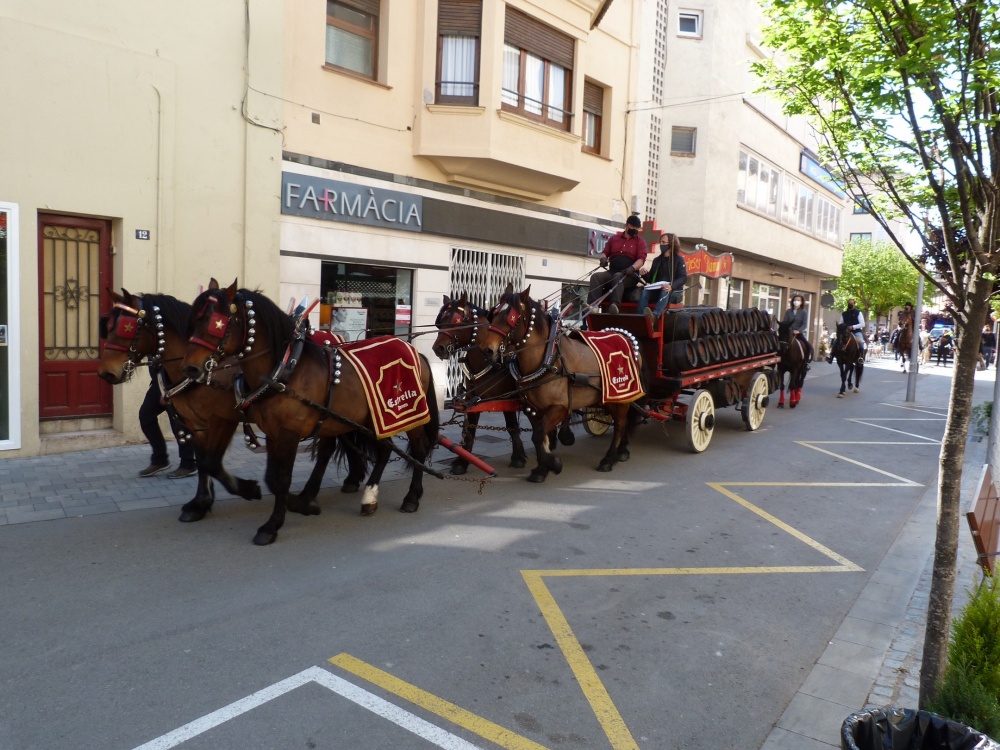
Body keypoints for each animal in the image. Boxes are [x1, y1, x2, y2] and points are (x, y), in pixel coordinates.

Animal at [94, 290, 366, 524]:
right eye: (108, 326)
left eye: (127, 327)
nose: (106, 373)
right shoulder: (196, 423)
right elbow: (204, 462)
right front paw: (200, 503)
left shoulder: (223, 419)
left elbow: (212, 462)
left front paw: (248, 489)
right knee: (336, 443)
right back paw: (347, 481)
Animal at [182, 282, 440, 548]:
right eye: (193, 321)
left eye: (217, 322)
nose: (190, 368)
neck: (286, 369)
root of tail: (414, 351)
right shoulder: (273, 432)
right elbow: (270, 477)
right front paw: (293, 502)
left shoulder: (288, 432)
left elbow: (280, 479)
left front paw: (275, 522)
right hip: (375, 418)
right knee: (384, 449)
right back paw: (369, 496)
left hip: (407, 414)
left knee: (419, 447)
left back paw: (411, 497)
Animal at [434, 294, 576, 476]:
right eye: (439, 323)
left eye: (457, 321)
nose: (438, 348)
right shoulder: (474, 399)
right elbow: (470, 428)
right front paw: (462, 462)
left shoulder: (509, 398)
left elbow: (512, 426)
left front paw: (518, 457)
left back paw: (565, 436)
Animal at [476, 284, 640, 484]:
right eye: (493, 313)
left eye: (511, 318)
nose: (486, 350)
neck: (548, 360)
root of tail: (625, 336)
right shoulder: (532, 409)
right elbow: (540, 437)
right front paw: (541, 468)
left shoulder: (560, 408)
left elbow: (539, 435)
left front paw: (553, 463)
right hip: (605, 399)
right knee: (622, 422)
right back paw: (622, 451)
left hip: (622, 397)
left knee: (620, 425)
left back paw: (609, 459)